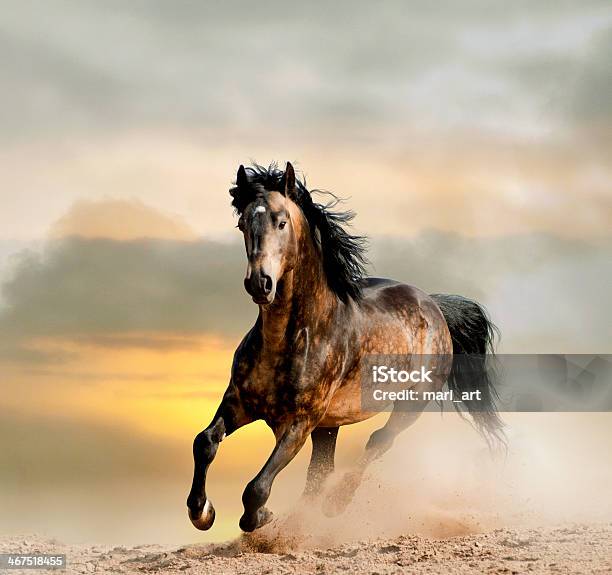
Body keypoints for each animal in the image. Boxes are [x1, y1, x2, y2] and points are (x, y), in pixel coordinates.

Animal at [186, 161, 502, 532]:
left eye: (281, 221)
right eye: (242, 224)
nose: (260, 283)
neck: (291, 338)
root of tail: (434, 305)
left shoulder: (299, 422)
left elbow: (257, 488)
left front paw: (261, 517)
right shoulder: (239, 403)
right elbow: (205, 442)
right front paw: (202, 512)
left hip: (411, 403)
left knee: (378, 441)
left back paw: (335, 504)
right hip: (329, 426)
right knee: (320, 472)